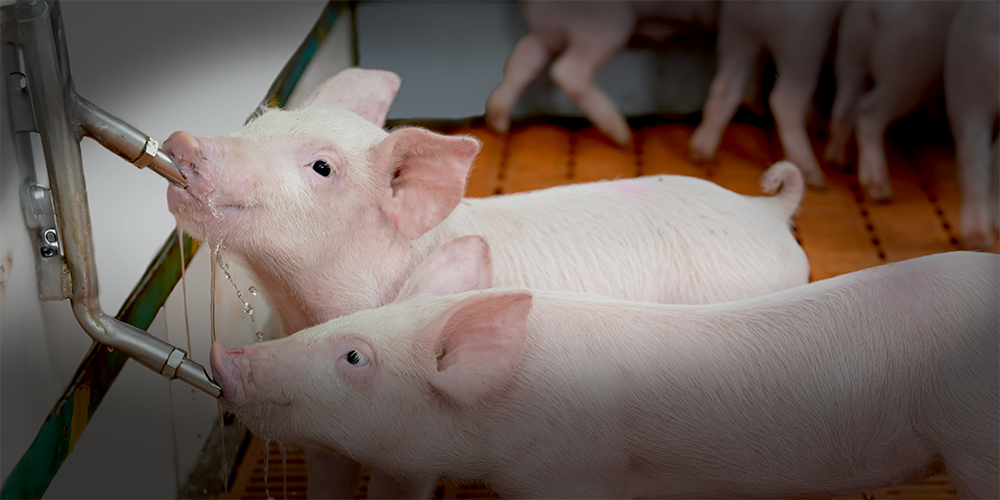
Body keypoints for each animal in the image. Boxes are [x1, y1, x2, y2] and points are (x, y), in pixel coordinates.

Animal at [166, 67, 808, 499]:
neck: (304, 304)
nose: (183, 142)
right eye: (260, 120)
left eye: (322, 167)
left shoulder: (414, 440)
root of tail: (769, 212)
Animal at [484, 0, 720, 146]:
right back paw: (623, 136)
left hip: (549, 31)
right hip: (605, 26)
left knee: (522, 58)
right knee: (567, 71)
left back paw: (499, 124)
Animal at [689, 0, 849, 188]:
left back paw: (700, 154)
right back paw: (815, 179)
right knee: (783, 102)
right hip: (802, 45)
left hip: (735, 34)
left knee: (724, 88)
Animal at [825, 0, 961, 201]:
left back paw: (836, 159)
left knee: (843, 106)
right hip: (907, 73)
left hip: (851, 52)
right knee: (868, 111)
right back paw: (881, 191)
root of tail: (871, 6)